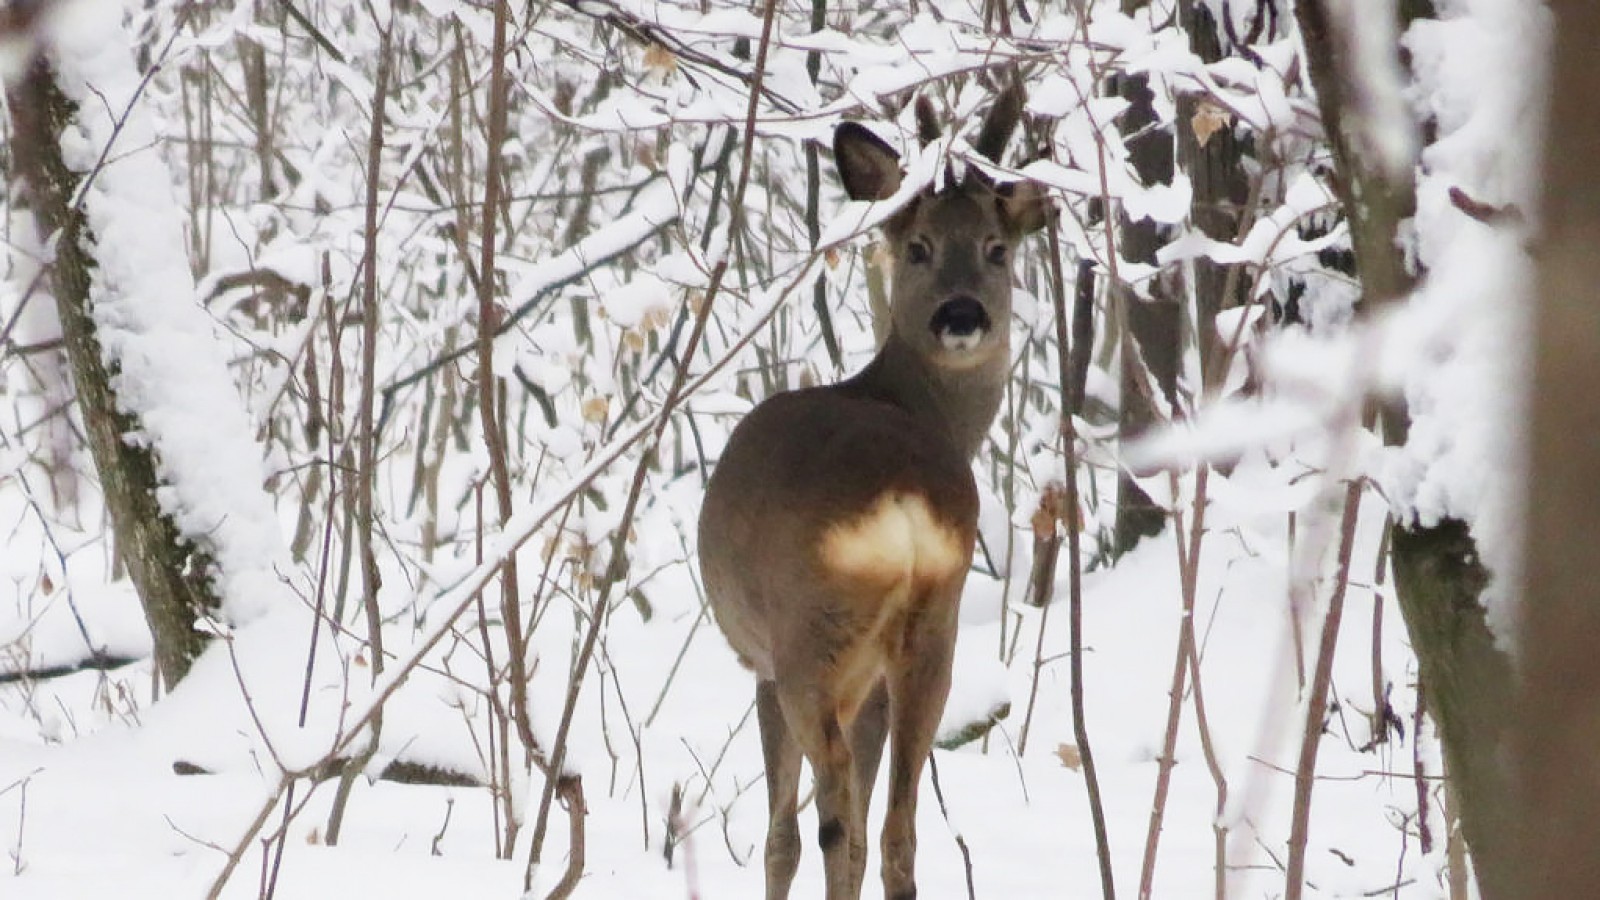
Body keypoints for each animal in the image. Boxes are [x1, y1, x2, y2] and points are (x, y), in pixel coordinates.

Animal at [697, 85, 1049, 896]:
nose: (961, 314)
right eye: (918, 245)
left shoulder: (763, 661)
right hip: (930, 631)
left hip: (809, 637)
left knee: (829, 823)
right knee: (896, 830)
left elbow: (784, 836)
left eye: (997, 248)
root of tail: (902, 499)